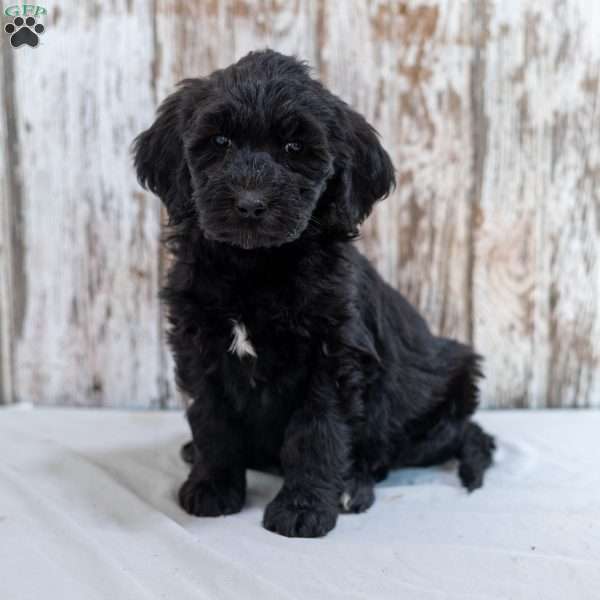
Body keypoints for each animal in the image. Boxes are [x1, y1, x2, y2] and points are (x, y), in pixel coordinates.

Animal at [134, 50, 494, 540]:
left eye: (294, 149)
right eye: (220, 141)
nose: (250, 204)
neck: (255, 267)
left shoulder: (333, 355)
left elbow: (317, 431)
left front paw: (303, 508)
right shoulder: (199, 343)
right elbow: (211, 418)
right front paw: (212, 486)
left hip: (445, 393)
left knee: (400, 450)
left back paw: (353, 486)